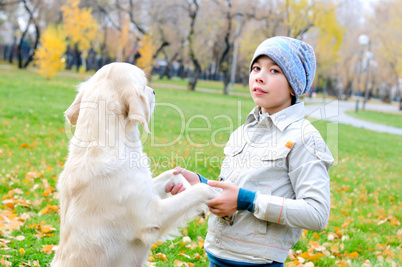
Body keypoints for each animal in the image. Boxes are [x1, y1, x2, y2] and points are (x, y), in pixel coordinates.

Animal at [52, 62, 220, 266]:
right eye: (144, 84)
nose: (154, 91)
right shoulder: (152, 216)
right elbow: (203, 189)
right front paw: (220, 197)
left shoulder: (147, 190)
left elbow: (173, 173)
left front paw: (186, 188)